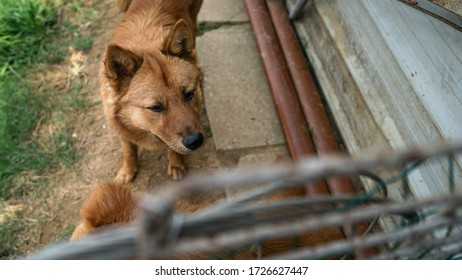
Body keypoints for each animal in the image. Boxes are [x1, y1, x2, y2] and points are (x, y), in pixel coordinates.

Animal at [103, 0, 206, 183]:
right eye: (155, 107)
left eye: (189, 94)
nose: (196, 141)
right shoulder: (119, 125)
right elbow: (128, 150)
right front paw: (127, 171)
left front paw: (176, 164)